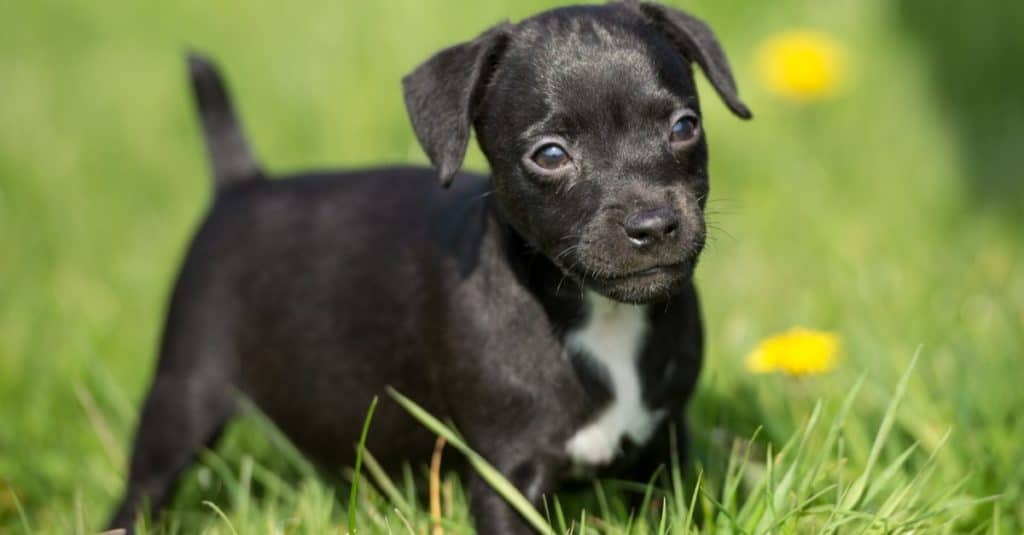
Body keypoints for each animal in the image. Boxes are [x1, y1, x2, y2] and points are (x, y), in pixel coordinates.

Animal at [110, 2, 753, 528]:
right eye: (550, 155)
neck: (596, 316)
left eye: (684, 127)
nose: (653, 224)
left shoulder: (665, 448)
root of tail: (241, 185)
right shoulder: (506, 477)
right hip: (185, 392)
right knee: (143, 490)